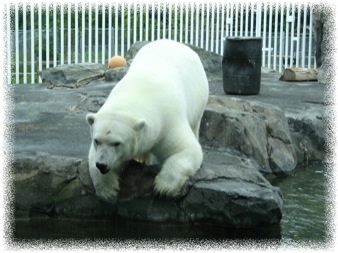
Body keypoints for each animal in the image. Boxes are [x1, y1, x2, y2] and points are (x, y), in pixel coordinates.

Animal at [86, 39, 209, 202]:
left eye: (117, 143)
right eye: (97, 140)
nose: (102, 164)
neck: (138, 92)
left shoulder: (167, 121)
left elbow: (186, 149)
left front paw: (163, 187)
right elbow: (92, 156)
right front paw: (108, 191)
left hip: (198, 94)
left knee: (195, 123)